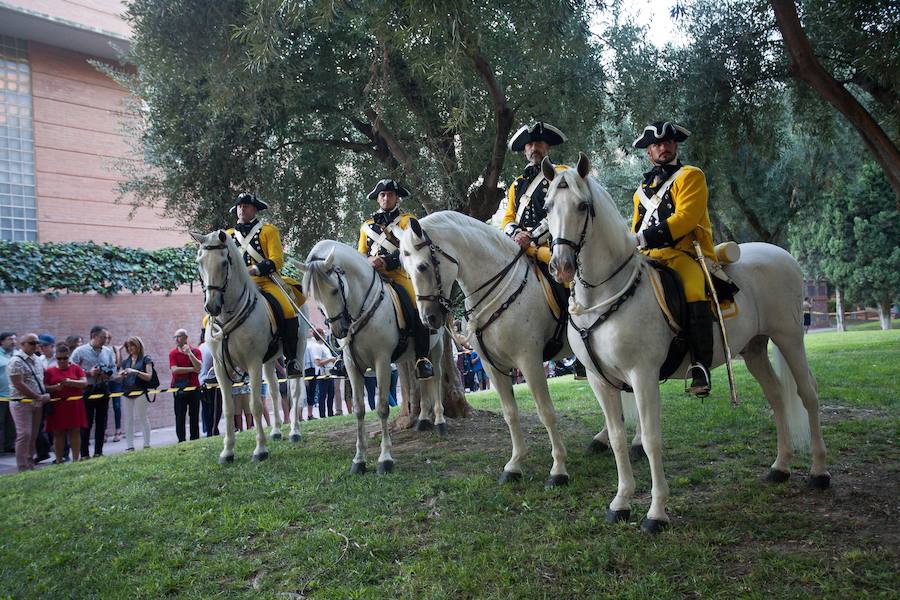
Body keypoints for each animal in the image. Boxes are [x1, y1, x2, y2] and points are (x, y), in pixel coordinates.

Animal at [191, 231, 310, 464]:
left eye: (224, 262)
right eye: (199, 261)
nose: (211, 306)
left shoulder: (253, 362)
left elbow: (255, 405)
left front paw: (260, 450)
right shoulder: (220, 366)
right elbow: (228, 408)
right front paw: (227, 452)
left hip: (297, 350)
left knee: (293, 391)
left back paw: (294, 431)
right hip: (269, 360)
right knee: (274, 391)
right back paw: (276, 431)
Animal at [298, 239, 444, 474]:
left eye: (334, 290)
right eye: (314, 297)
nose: (339, 331)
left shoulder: (381, 362)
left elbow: (382, 408)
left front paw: (385, 459)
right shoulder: (351, 366)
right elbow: (359, 409)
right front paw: (359, 460)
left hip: (437, 346)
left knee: (436, 377)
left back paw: (439, 421)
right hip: (411, 355)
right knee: (421, 379)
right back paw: (422, 419)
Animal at [400, 211, 640, 488]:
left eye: (422, 266)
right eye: (406, 271)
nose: (428, 319)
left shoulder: (529, 361)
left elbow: (546, 412)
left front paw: (558, 469)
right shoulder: (493, 367)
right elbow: (510, 414)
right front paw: (514, 464)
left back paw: (636, 443)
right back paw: (601, 439)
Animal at [540, 155, 828, 536]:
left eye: (582, 206)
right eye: (546, 207)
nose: (561, 266)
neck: (604, 297)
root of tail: (783, 255)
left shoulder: (643, 376)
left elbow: (650, 439)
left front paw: (656, 512)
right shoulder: (600, 381)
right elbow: (616, 438)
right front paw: (621, 502)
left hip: (790, 337)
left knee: (807, 394)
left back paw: (819, 472)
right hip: (754, 348)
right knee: (778, 396)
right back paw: (780, 468)